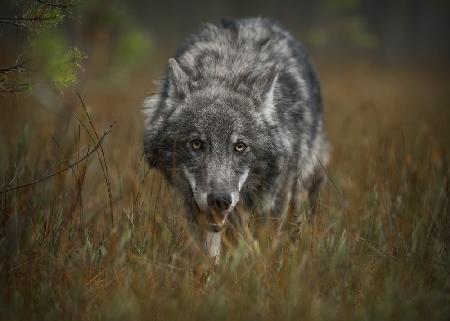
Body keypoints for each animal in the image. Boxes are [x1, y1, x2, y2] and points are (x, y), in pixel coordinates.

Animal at [144, 17, 330, 262]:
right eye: (196, 144)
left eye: (240, 146)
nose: (220, 200)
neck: (226, 70)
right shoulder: (191, 203)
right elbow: (211, 248)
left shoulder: (275, 194)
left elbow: (262, 239)